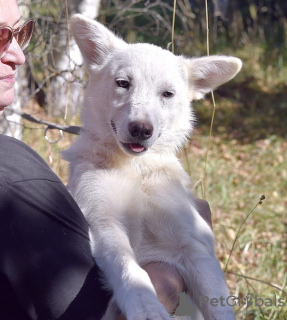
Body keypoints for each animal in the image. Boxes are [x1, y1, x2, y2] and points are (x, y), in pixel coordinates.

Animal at [63, 13, 243, 320]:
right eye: (123, 83)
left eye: (167, 94)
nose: (141, 129)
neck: (136, 168)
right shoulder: (103, 221)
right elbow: (129, 268)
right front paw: (146, 306)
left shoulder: (195, 247)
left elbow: (219, 306)